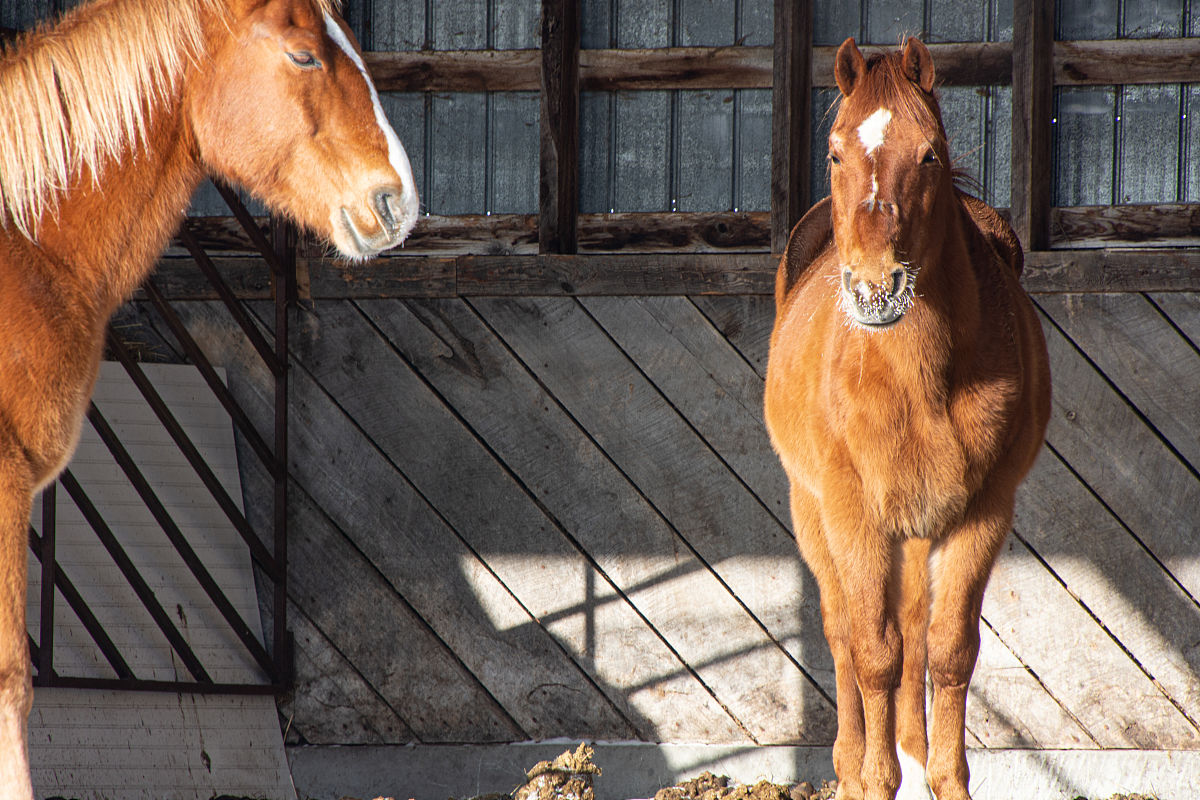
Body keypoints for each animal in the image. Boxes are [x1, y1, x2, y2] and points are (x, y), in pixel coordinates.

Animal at [764, 38, 1051, 800]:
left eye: (928, 154)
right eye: (835, 153)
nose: (874, 287)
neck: (913, 380)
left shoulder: (982, 511)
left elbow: (946, 650)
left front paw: (942, 778)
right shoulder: (851, 513)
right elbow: (872, 652)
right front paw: (872, 778)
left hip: (921, 529)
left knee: (916, 630)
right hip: (815, 512)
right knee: (845, 633)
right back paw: (851, 764)